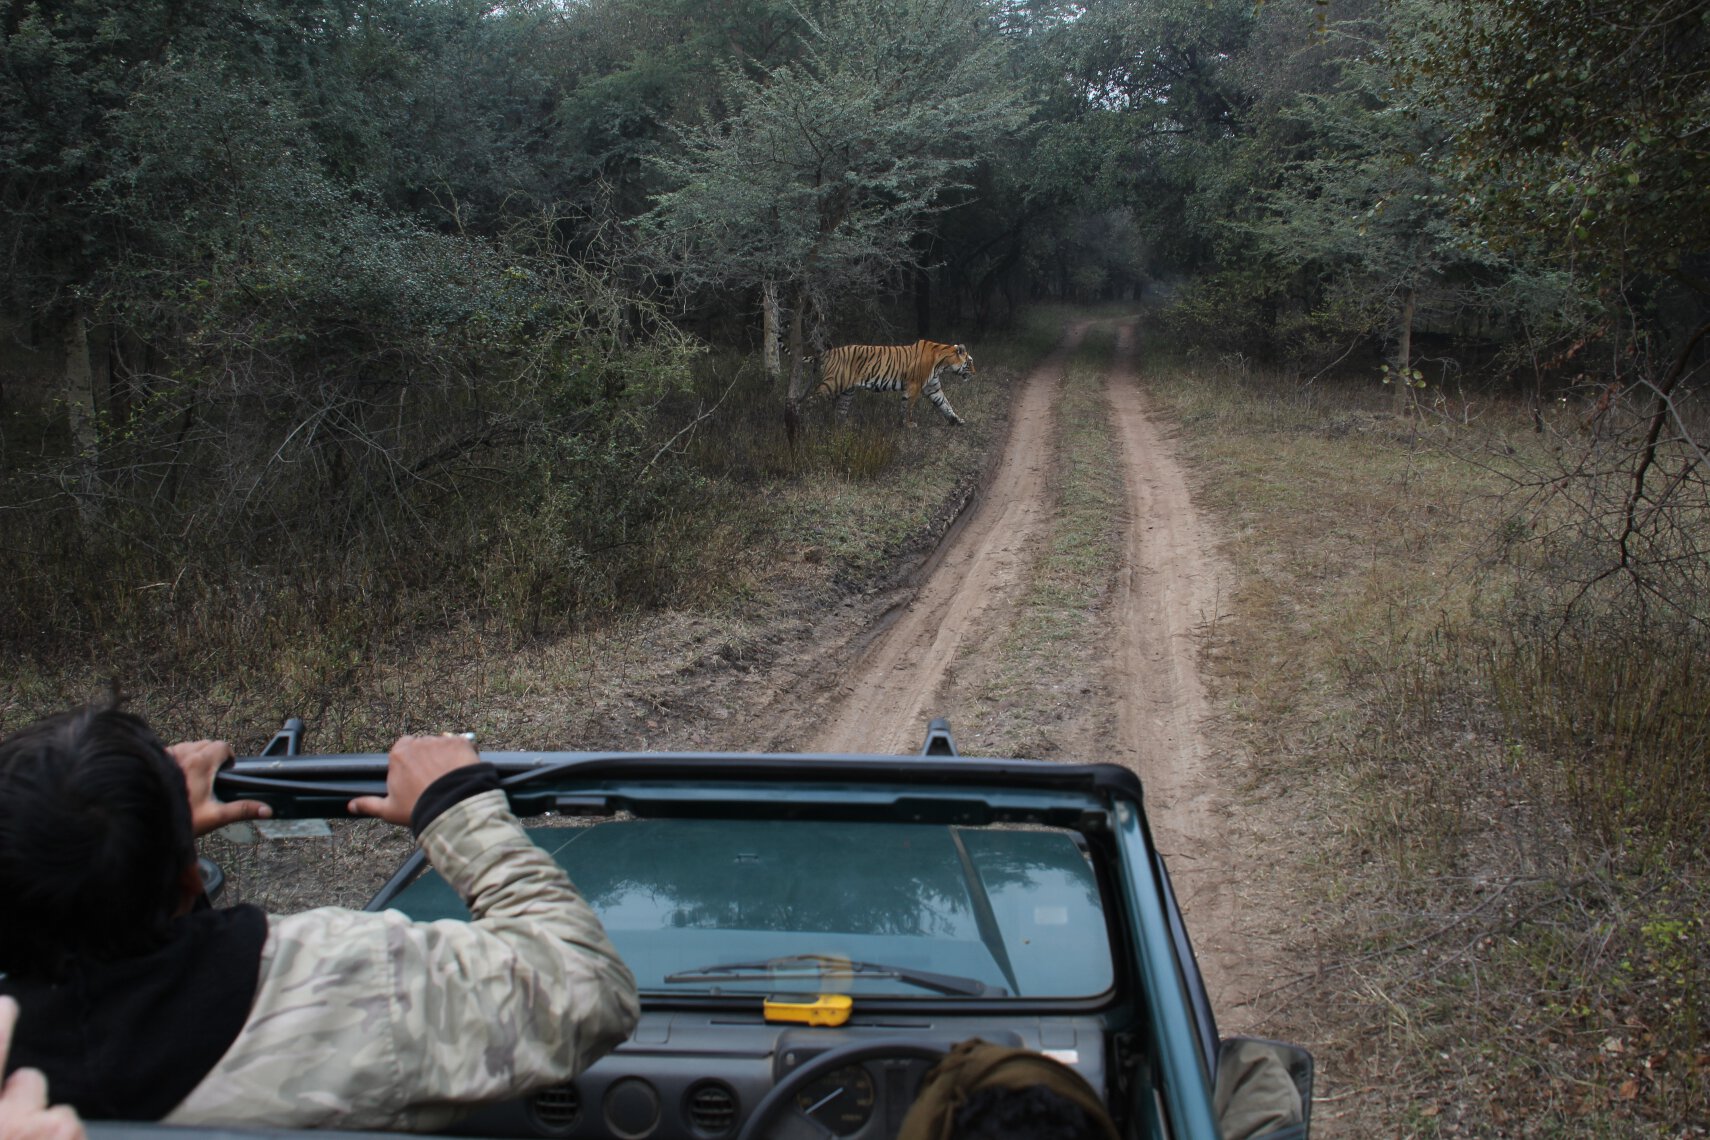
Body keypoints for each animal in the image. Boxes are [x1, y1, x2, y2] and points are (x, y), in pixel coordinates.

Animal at [813, 341, 978, 430]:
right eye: (970, 361)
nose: (975, 373)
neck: (943, 364)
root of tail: (829, 352)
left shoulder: (933, 388)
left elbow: (945, 404)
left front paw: (956, 420)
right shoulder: (914, 385)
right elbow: (909, 407)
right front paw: (908, 424)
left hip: (848, 391)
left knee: (840, 410)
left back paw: (844, 426)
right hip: (832, 384)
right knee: (813, 398)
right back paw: (811, 423)